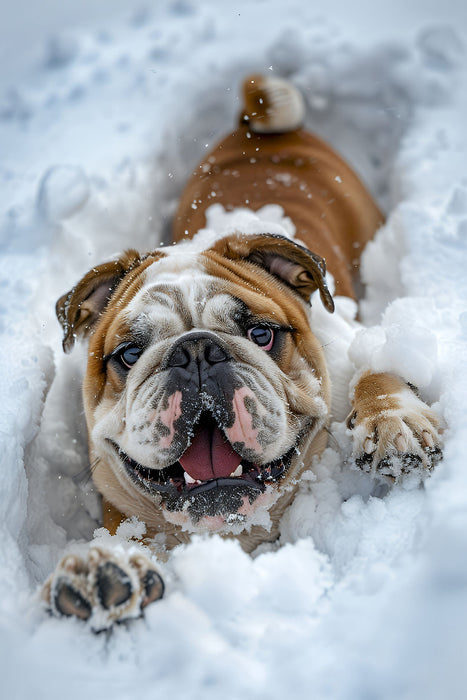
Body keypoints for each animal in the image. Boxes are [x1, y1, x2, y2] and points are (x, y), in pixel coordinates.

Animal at [41, 74, 442, 628]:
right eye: (129, 354)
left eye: (260, 335)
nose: (195, 352)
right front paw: (104, 570)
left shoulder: (351, 341)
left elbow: (375, 370)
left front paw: (394, 424)